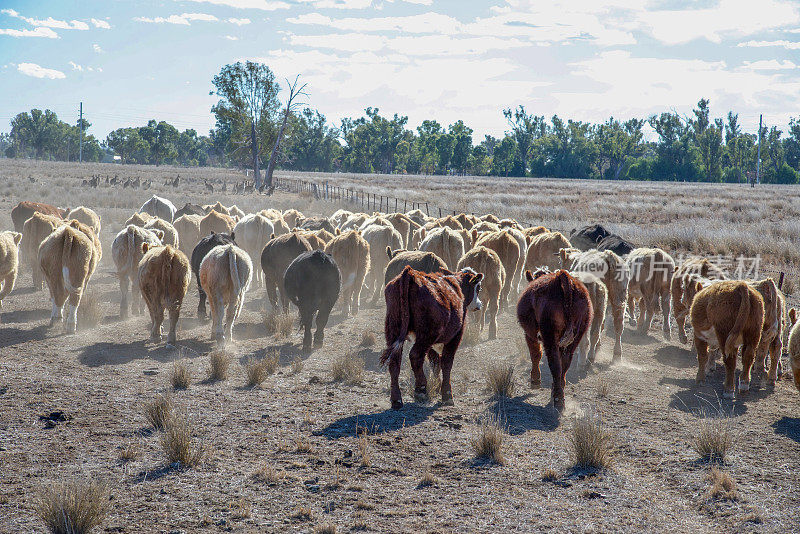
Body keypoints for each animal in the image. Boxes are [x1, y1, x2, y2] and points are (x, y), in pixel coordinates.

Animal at [380, 266, 482, 410]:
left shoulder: (433, 344)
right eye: (478, 288)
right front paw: (447, 395)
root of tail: (410, 274)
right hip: (426, 335)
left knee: (395, 361)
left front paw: (438, 387)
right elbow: (446, 363)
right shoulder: (456, 336)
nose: (479, 304)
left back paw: (397, 400)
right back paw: (421, 389)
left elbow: (435, 363)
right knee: (415, 355)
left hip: (393, 329)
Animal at [520, 270, 592, 412]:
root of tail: (563, 278)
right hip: (576, 336)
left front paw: (535, 380)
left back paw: (558, 400)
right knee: (565, 363)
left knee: (555, 364)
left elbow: (535, 355)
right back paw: (557, 392)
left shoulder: (530, 333)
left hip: (549, 335)